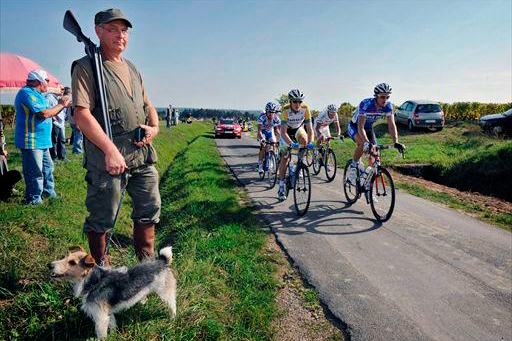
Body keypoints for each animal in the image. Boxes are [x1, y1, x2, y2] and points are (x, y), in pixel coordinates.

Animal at [48, 244, 176, 338]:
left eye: (72, 262)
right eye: (65, 257)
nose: (49, 265)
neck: (94, 282)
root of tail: (162, 261)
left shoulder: (100, 318)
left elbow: (101, 336)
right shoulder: (107, 314)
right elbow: (113, 326)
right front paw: (114, 335)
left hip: (166, 293)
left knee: (173, 306)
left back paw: (172, 319)